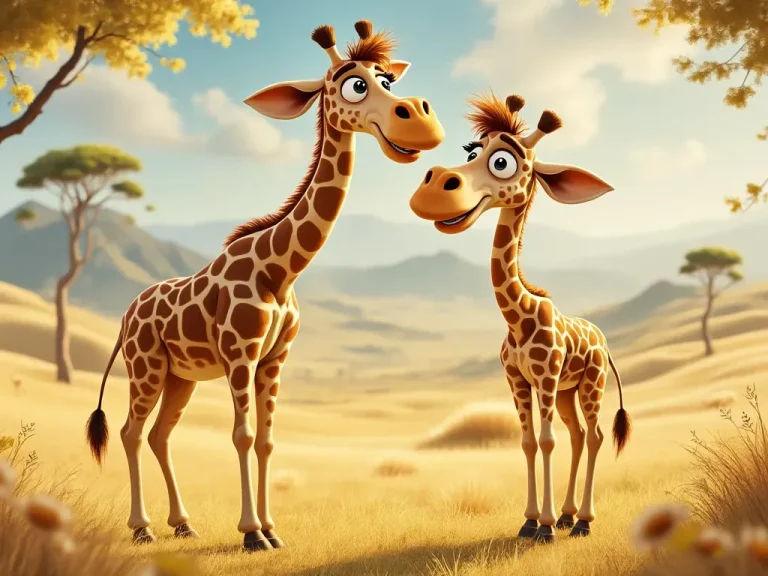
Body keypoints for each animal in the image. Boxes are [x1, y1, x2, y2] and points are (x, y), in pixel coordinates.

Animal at [85, 20, 444, 552]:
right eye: (353, 85)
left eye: (388, 79)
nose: (420, 119)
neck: (281, 270)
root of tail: (127, 315)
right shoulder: (241, 354)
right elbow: (243, 436)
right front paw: (252, 533)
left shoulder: (275, 358)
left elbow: (269, 439)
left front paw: (273, 529)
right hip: (146, 366)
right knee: (131, 431)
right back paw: (143, 527)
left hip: (179, 376)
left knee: (159, 435)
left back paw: (183, 523)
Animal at [408, 93, 631, 543]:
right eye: (472, 151)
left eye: (503, 162)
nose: (434, 186)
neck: (518, 317)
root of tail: (603, 339)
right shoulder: (517, 379)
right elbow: (528, 442)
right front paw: (531, 521)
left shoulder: (544, 377)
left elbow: (545, 441)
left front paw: (543, 527)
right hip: (567, 390)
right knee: (578, 434)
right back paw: (567, 516)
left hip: (590, 382)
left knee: (595, 435)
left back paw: (582, 521)